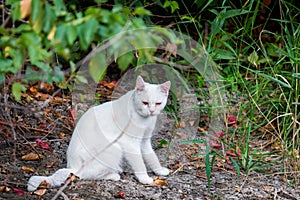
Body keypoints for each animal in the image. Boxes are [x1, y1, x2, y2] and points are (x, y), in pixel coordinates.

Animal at [27, 76, 171, 191]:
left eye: (158, 103)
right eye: (145, 103)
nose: (151, 111)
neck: (145, 119)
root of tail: (73, 167)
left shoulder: (145, 141)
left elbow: (152, 157)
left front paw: (159, 170)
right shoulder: (130, 143)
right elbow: (139, 162)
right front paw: (144, 178)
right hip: (115, 148)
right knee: (84, 175)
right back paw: (114, 174)